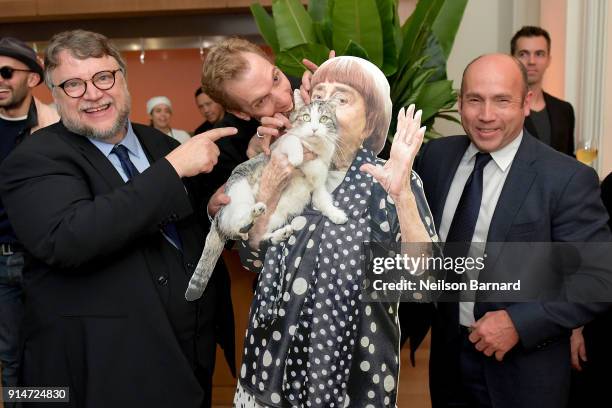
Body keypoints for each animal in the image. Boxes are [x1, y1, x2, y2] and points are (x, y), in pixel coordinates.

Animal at [184, 91, 346, 302]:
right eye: (305, 117)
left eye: (324, 119)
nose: (314, 128)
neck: (314, 150)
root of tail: (217, 220)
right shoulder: (280, 146)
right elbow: (293, 140)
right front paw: (297, 156)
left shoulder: (318, 186)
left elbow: (324, 201)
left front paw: (336, 214)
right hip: (239, 192)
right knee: (238, 225)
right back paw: (252, 214)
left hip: (277, 216)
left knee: (255, 237)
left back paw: (278, 234)